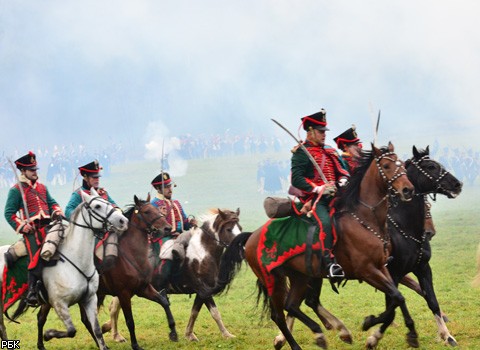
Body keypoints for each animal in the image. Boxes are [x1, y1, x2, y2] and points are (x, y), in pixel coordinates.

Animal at [20, 189, 128, 350]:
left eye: (107, 202)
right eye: (97, 206)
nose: (123, 220)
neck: (77, 261)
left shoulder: (89, 299)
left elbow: (96, 329)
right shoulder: (60, 305)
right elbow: (71, 331)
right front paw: (48, 334)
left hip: (46, 302)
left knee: (40, 318)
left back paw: (41, 345)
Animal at [96, 194, 175, 350]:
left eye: (157, 209)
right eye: (147, 212)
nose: (168, 228)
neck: (131, 256)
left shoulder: (143, 289)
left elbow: (164, 301)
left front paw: (173, 331)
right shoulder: (124, 294)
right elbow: (130, 321)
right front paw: (135, 345)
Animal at [105, 208, 240, 342]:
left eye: (240, 227)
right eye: (228, 229)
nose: (239, 246)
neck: (202, 253)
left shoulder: (202, 292)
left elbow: (195, 312)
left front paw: (189, 334)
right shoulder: (203, 290)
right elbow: (215, 313)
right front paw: (226, 334)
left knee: (114, 307)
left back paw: (113, 332)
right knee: (114, 308)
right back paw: (115, 335)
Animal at [204, 143, 414, 350]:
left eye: (402, 164)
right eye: (386, 166)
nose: (408, 190)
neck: (364, 218)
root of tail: (251, 236)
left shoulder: (382, 268)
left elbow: (397, 298)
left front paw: (383, 330)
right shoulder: (367, 271)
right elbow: (397, 297)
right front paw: (370, 323)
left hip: (300, 276)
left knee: (291, 306)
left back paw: (327, 331)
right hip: (274, 280)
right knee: (279, 314)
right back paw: (310, 337)